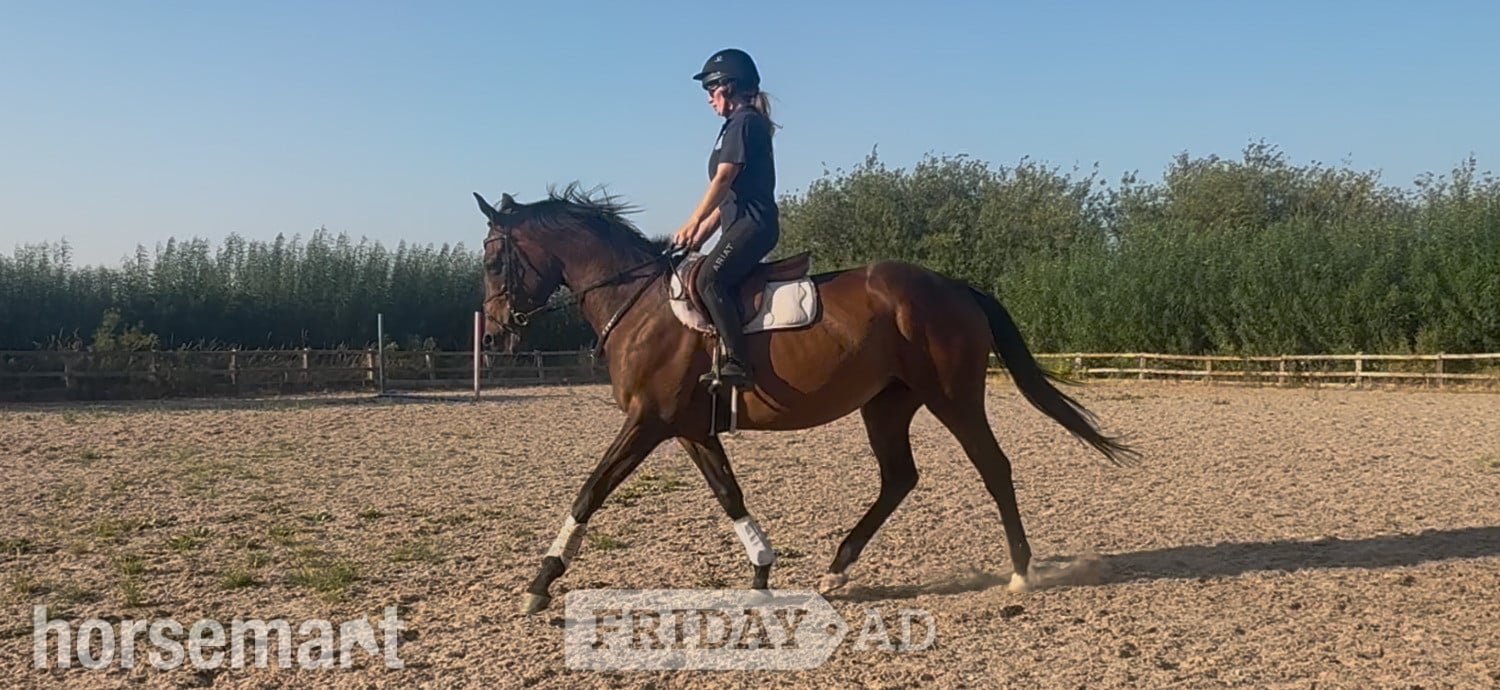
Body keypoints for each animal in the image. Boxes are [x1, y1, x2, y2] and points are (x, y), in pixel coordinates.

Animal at [473, 184, 1137, 614]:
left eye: (493, 257)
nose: (498, 333)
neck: (640, 304)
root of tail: (955, 286)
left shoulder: (649, 421)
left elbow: (590, 490)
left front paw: (541, 580)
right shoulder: (689, 427)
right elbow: (728, 493)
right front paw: (762, 568)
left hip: (953, 397)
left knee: (993, 466)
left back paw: (1021, 573)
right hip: (887, 404)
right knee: (899, 478)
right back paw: (836, 568)